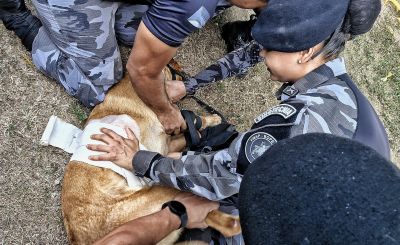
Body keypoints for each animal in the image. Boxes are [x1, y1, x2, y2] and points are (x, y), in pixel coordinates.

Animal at [59, 67, 241, 245]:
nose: (188, 83)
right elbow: (194, 126)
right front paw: (211, 120)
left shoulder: (167, 146)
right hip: (162, 191)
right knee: (225, 222)